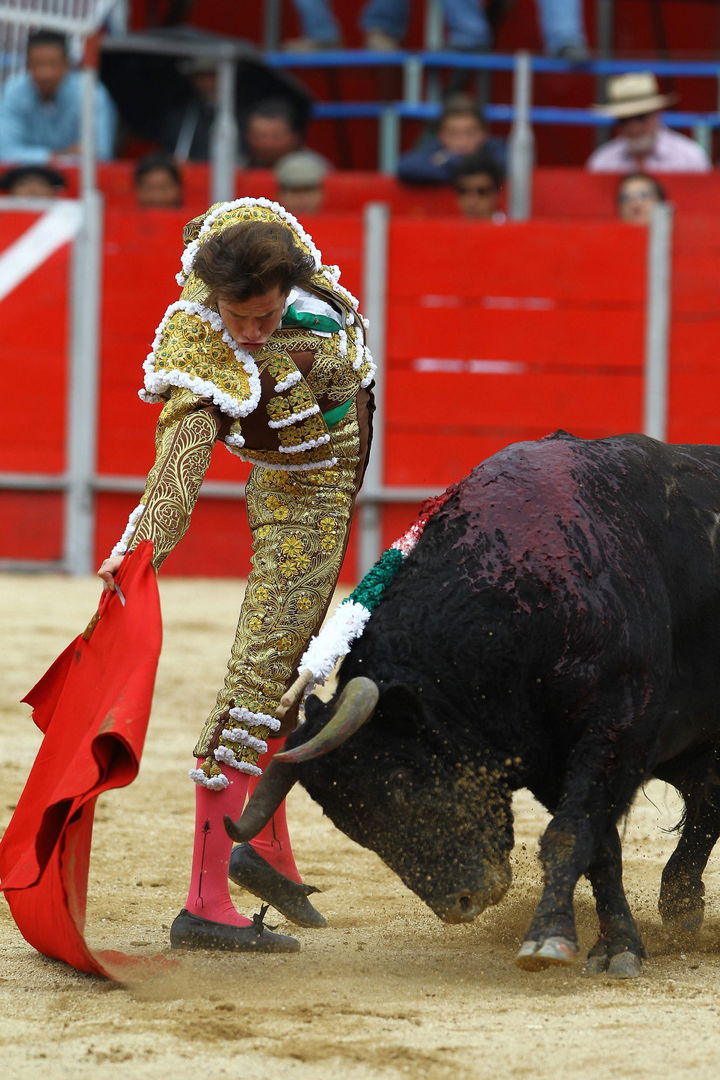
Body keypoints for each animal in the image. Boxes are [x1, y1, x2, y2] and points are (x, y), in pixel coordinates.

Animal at [226, 431, 720, 978]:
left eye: (402, 782)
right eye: (346, 821)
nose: (462, 903)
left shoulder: (615, 731)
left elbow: (571, 834)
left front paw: (551, 938)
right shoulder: (550, 760)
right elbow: (600, 847)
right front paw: (615, 945)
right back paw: (681, 904)